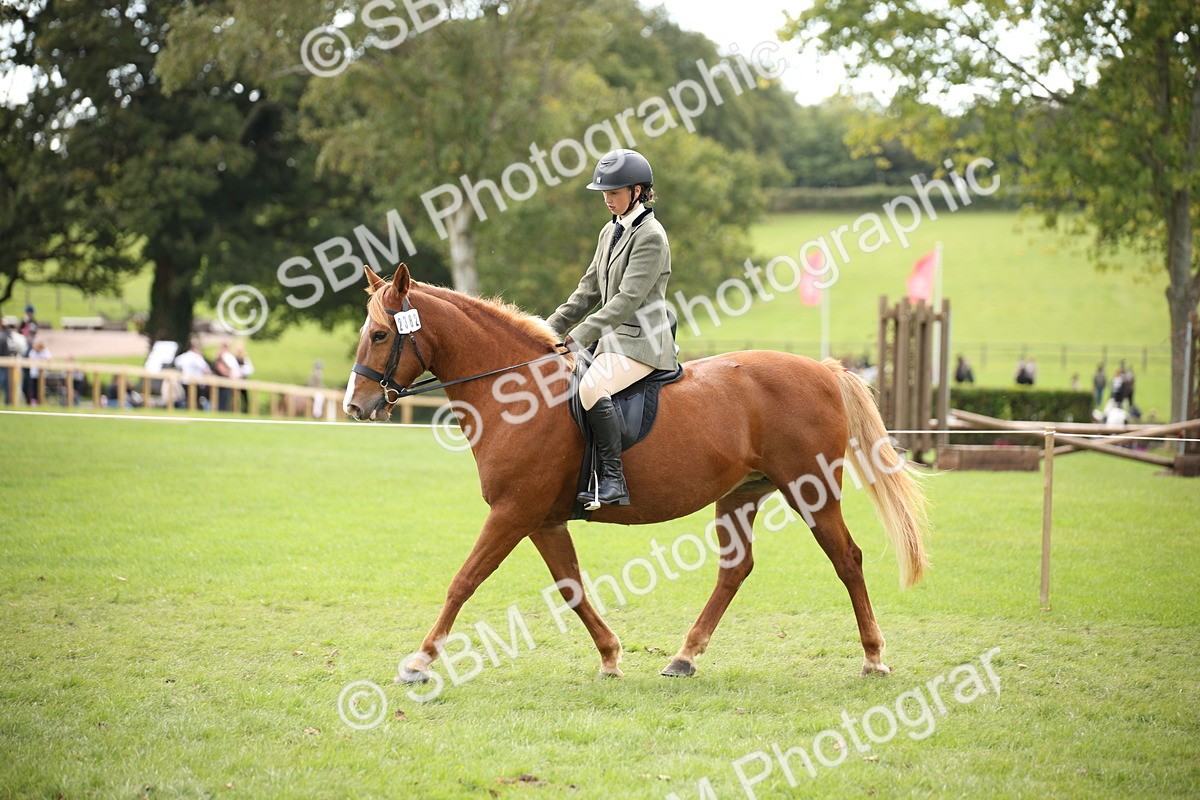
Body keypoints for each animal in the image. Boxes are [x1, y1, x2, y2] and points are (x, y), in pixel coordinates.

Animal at [343, 264, 929, 682]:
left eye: (379, 335)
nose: (355, 406)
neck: (516, 391)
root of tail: (824, 370)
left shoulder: (512, 512)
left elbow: (463, 581)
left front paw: (419, 661)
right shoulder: (541, 519)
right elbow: (570, 586)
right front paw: (610, 656)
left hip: (812, 492)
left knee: (847, 560)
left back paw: (873, 659)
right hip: (741, 494)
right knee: (735, 570)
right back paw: (684, 658)